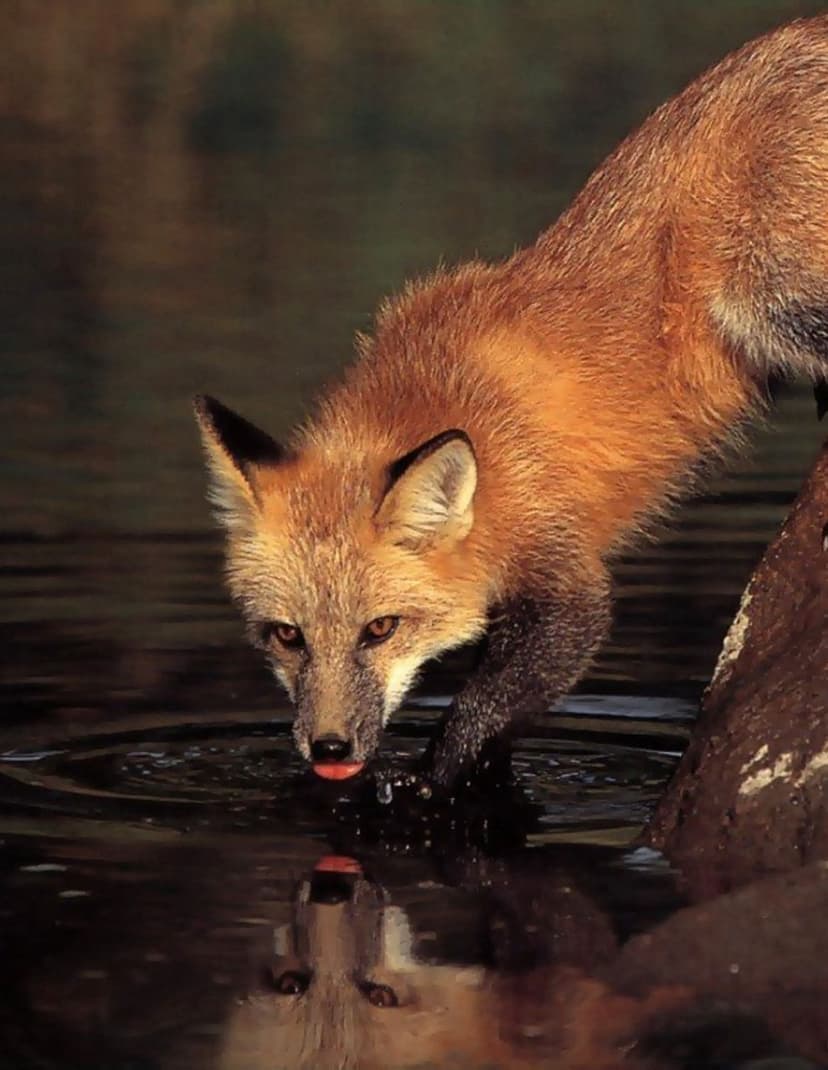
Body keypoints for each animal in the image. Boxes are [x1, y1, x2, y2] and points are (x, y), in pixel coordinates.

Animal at [195, 17, 828, 789]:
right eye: (288, 636)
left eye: (381, 629)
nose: (331, 751)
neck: (460, 406)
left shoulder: (559, 566)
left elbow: (495, 696)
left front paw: (426, 782)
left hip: (761, 295)